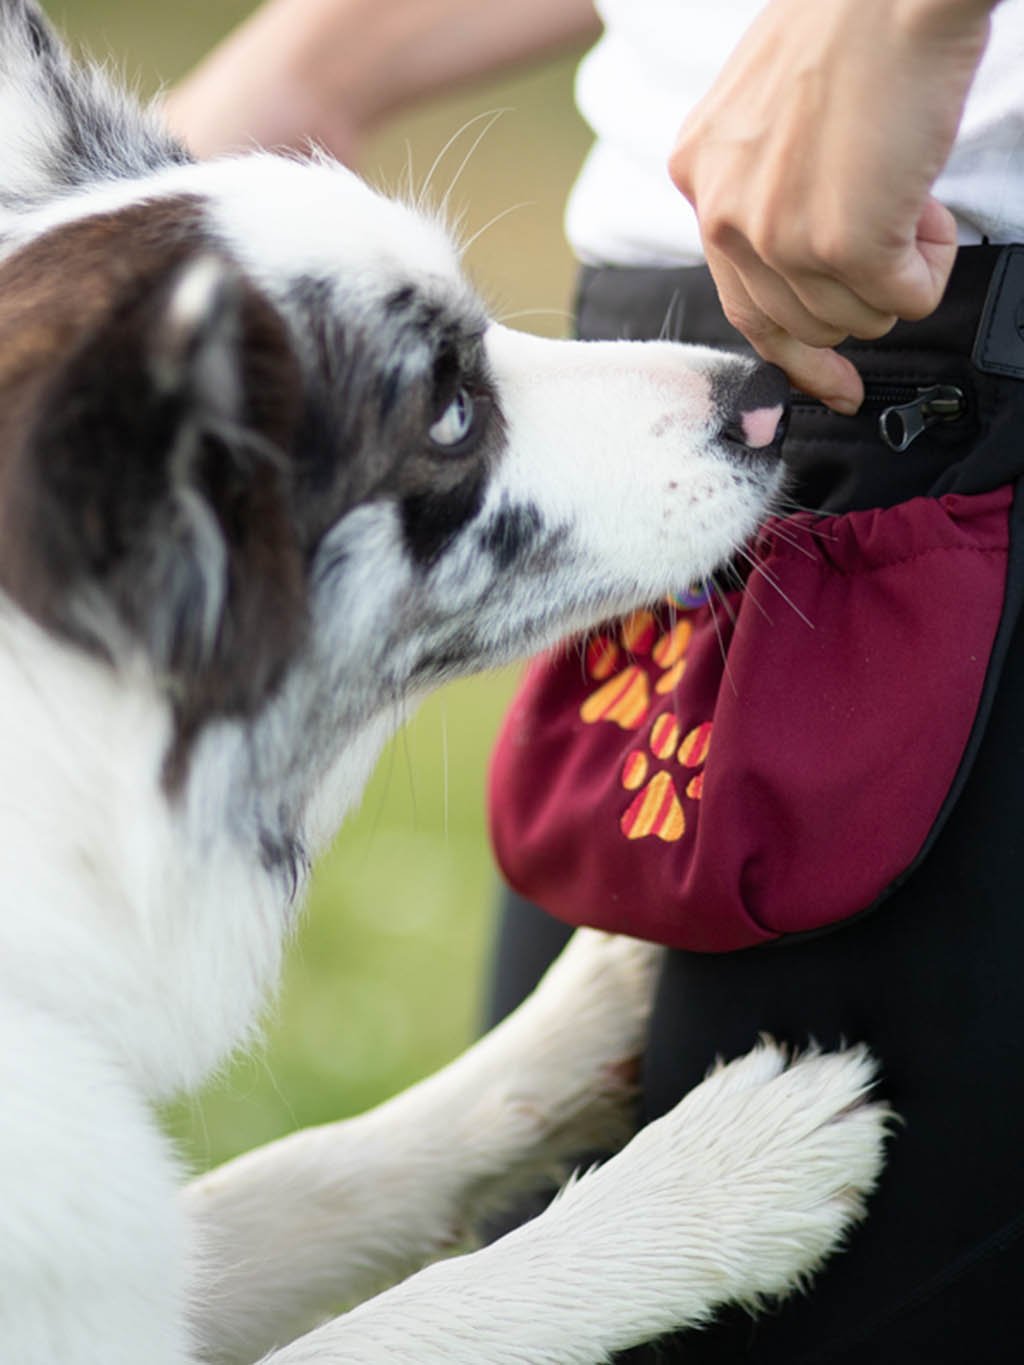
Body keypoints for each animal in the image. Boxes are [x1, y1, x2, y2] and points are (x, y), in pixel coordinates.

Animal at [0, 2, 890, 1365]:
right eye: (450, 414)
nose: (767, 398)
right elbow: (436, 1309)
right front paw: (722, 1178)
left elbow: (308, 1169)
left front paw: (592, 1000)